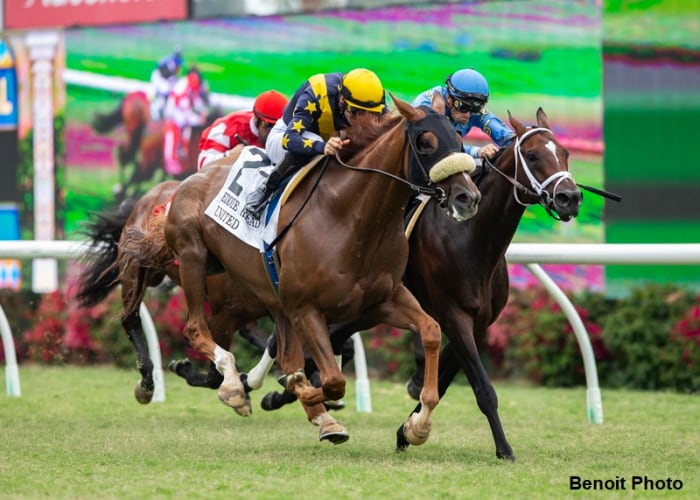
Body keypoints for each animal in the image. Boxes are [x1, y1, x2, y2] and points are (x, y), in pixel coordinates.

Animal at [141, 98, 482, 446]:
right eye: (426, 143)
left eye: (458, 138)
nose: (468, 197)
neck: (351, 218)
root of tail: (192, 178)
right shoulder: (306, 308)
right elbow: (332, 380)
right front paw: (293, 393)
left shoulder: (383, 299)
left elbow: (431, 331)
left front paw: (417, 425)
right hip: (194, 257)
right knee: (197, 328)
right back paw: (234, 385)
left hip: (270, 295)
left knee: (281, 351)